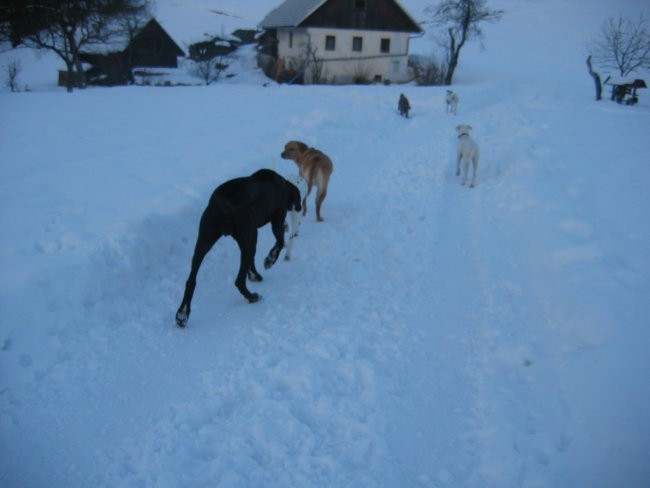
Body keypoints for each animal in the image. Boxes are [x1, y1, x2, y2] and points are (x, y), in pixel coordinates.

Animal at [175, 169, 302, 328]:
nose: (300, 208)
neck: (284, 185)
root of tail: (221, 204)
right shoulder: (275, 222)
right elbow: (279, 244)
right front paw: (270, 260)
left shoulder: (245, 239)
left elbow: (251, 261)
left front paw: (254, 274)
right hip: (250, 233)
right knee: (239, 281)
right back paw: (252, 297)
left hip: (204, 241)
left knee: (191, 281)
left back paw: (182, 314)